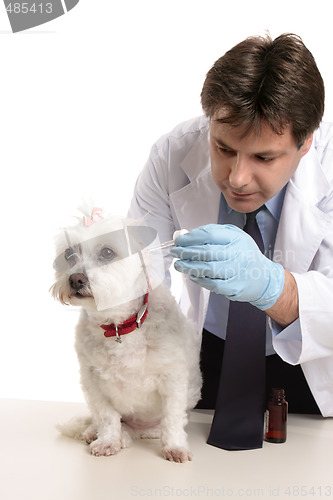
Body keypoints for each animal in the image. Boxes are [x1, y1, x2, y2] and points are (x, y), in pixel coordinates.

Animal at [51, 207, 202, 460]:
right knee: (105, 422)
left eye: (107, 252)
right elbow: (107, 417)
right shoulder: (93, 382)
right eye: (70, 254)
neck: (119, 326)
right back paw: (95, 432)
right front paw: (107, 441)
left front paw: (175, 447)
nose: (75, 279)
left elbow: (172, 418)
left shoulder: (173, 380)